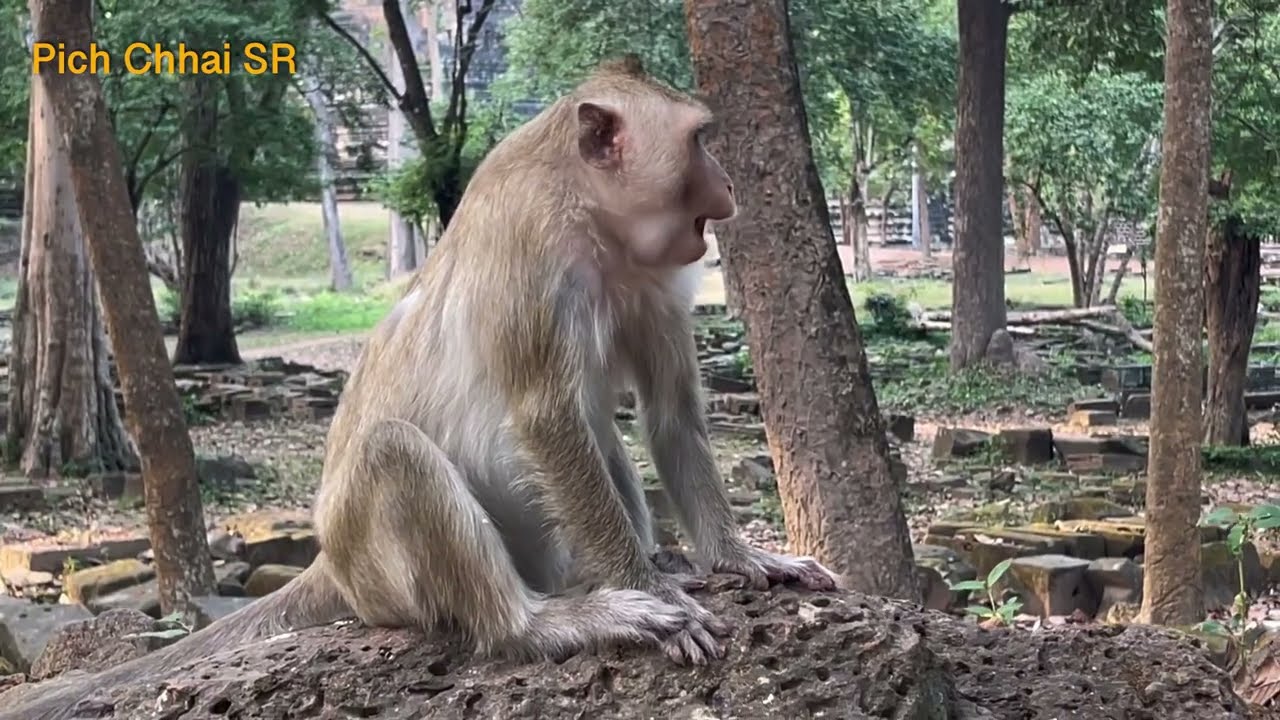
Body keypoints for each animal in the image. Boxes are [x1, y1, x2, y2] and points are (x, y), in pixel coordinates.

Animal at [0, 56, 837, 719]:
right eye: (700, 141)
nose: (726, 185)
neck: (588, 215)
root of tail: (330, 563)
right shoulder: (532, 258)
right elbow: (546, 420)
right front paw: (654, 594)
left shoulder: (654, 281)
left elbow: (669, 415)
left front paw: (739, 560)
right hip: (380, 572)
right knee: (394, 450)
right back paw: (541, 623)